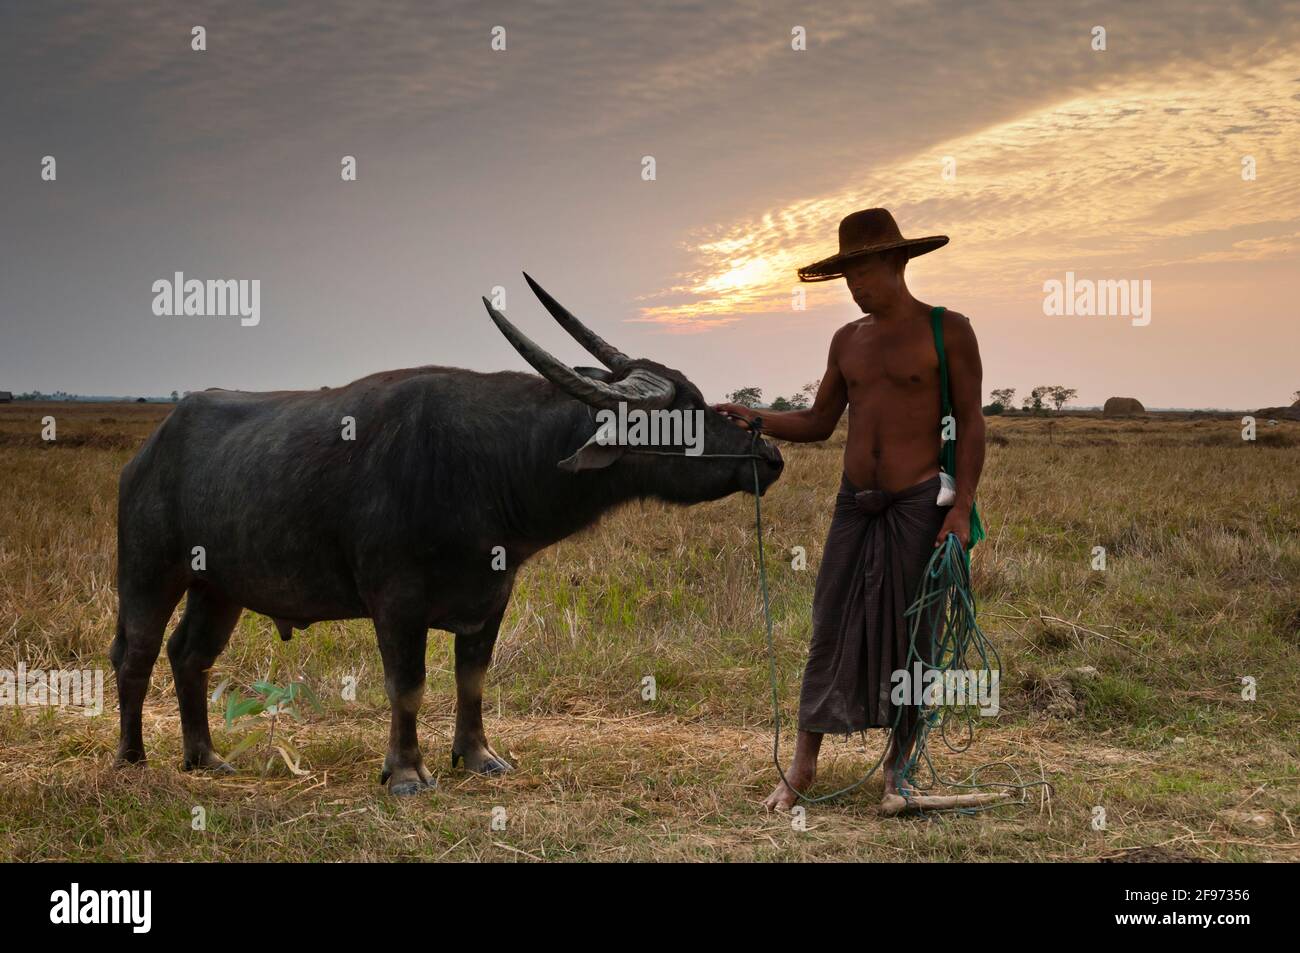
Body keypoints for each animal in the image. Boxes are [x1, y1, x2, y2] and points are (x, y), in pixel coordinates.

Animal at [114, 273, 780, 790]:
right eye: (683, 412)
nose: (767, 454)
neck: (484, 465)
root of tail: (148, 453)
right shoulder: (396, 603)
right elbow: (407, 684)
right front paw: (407, 772)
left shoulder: (493, 597)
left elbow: (472, 678)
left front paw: (479, 756)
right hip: (148, 573)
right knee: (135, 653)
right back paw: (132, 759)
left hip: (218, 588)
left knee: (189, 655)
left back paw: (204, 757)